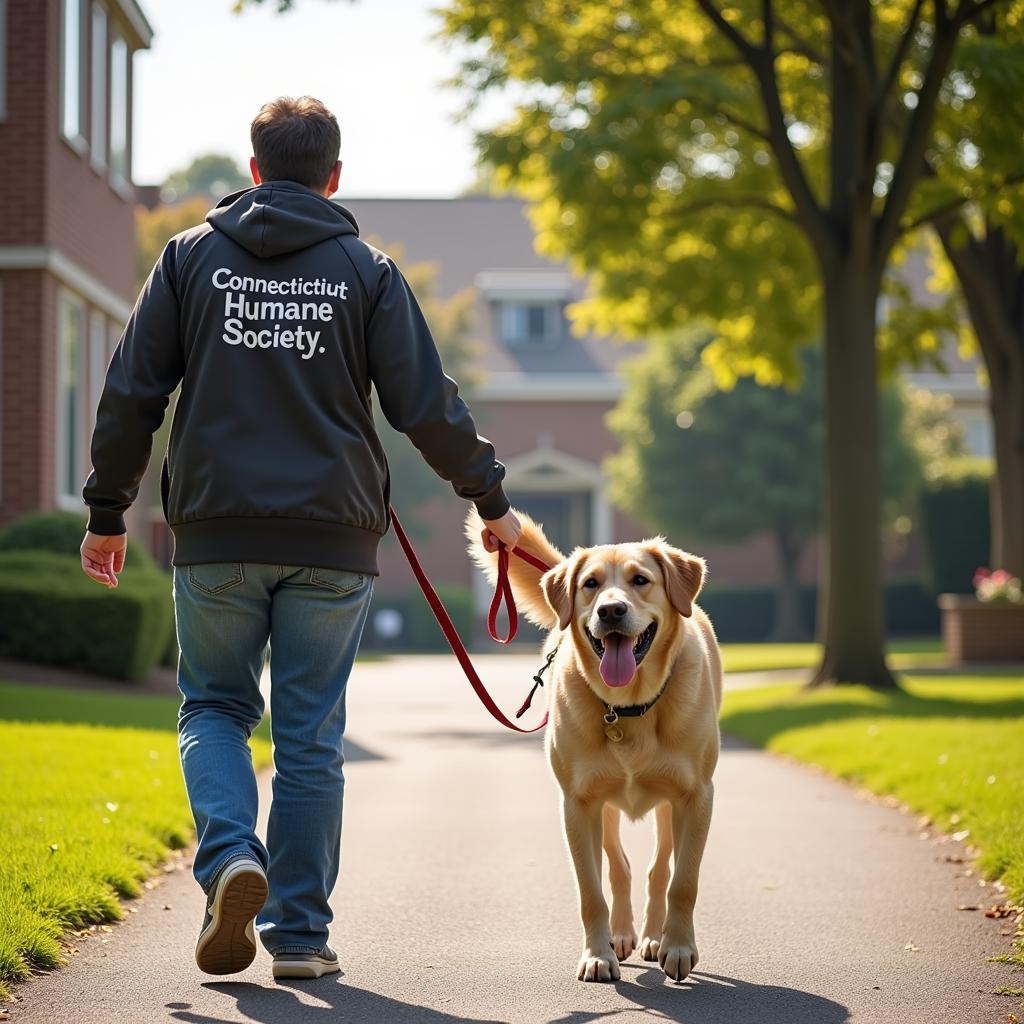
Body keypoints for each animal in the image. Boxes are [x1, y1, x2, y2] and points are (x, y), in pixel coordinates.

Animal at [464, 509, 720, 983]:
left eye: (640, 580)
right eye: (590, 584)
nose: (611, 610)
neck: (629, 707)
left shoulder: (696, 797)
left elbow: (683, 882)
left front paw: (678, 946)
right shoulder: (578, 804)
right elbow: (591, 891)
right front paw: (598, 955)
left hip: (668, 803)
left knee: (658, 869)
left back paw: (653, 937)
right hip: (606, 804)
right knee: (620, 867)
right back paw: (621, 936)